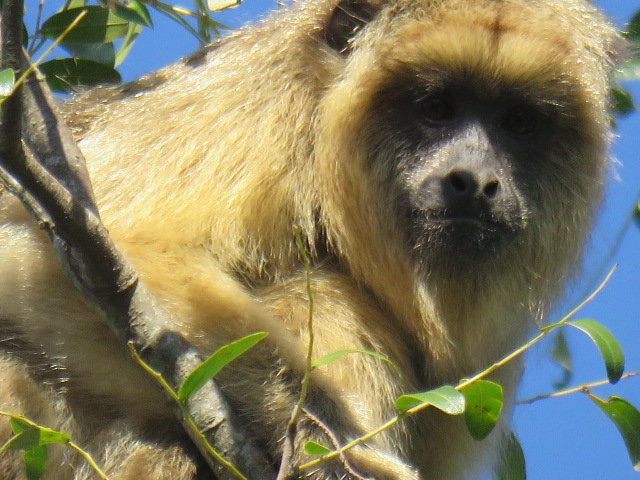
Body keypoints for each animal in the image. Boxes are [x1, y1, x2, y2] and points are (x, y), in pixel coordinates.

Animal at [0, 0, 620, 478]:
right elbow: (37, 258)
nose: (475, 181)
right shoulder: (250, 103)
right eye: (436, 108)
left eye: (518, 123)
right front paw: (344, 460)